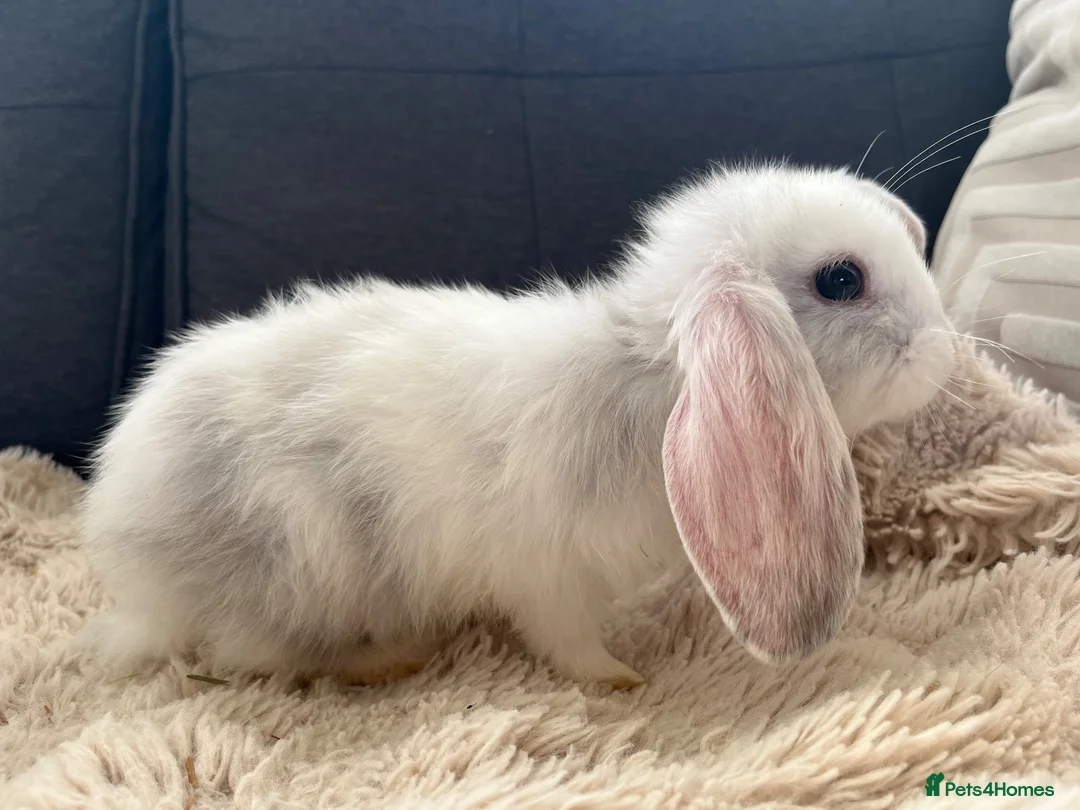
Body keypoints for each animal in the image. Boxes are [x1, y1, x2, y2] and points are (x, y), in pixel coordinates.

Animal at [78, 162, 956, 689]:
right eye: (841, 279)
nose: (944, 349)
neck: (651, 379)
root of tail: (129, 551)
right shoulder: (545, 571)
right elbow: (565, 640)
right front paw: (621, 680)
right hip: (301, 564)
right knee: (250, 655)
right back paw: (392, 656)